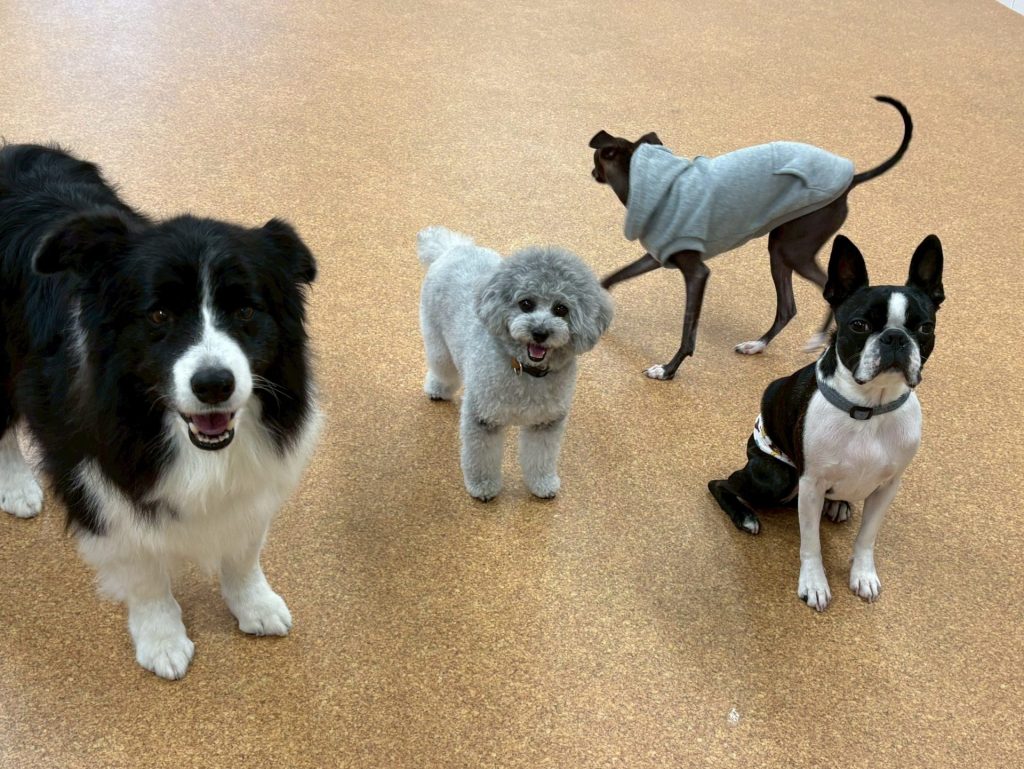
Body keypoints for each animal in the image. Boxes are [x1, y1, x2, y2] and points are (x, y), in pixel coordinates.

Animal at [0, 143, 322, 679]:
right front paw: (162, 638)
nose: (214, 385)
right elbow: (143, 570)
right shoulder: (99, 479)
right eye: (158, 314)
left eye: (246, 310)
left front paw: (254, 604)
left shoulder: (255, 474)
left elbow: (244, 547)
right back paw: (17, 486)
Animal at [417, 226, 612, 501]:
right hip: (438, 342)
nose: (540, 332)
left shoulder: (546, 422)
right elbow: (481, 458)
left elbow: (541, 458)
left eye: (561, 309)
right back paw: (437, 389)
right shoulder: (483, 418)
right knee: (442, 369)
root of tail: (454, 248)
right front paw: (483, 487)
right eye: (526, 303)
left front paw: (542, 485)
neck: (526, 371)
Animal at [589, 96, 913, 380]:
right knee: (788, 307)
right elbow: (612, 277)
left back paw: (818, 339)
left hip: (793, 248)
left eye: (598, 158)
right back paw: (758, 345)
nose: (592, 171)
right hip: (781, 250)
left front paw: (667, 370)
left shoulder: (696, 272)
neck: (650, 185)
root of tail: (850, 181)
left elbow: (688, 332)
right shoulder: (658, 254)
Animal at [708, 233, 944, 611]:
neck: (869, 409)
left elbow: (867, 537)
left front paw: (863, 575)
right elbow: (811, 544)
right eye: (859, 326)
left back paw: (839, 504)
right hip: (777, 477)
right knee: (721, 483)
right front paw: (814, 583)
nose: (895, 337)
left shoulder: (888, 486)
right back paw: (745, 516)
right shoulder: (810, 485)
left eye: (925, 328)